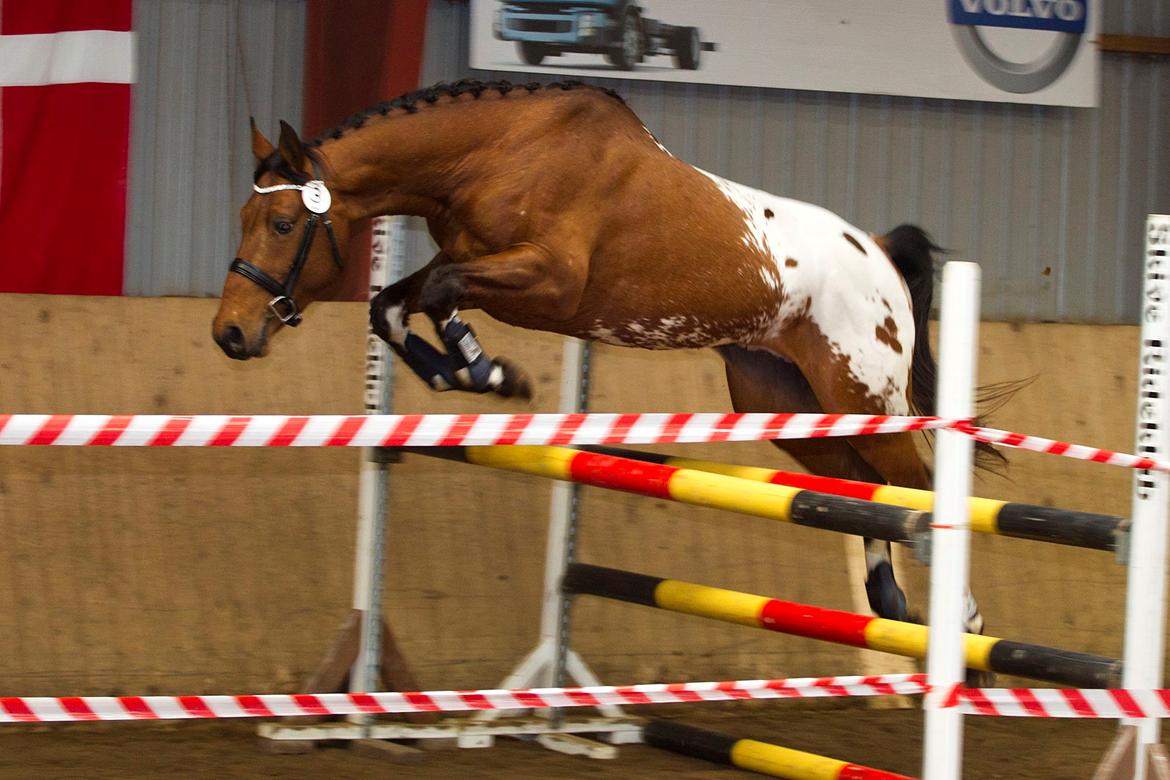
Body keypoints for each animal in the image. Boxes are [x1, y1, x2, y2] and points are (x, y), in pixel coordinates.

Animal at [217, 80, 1006, 654]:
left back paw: (962, 622)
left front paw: (490, 373)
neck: (499, 152)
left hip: (863, 393)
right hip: (787, 399)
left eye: (283, 224)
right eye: (246, 220)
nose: (229, 333)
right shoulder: (471, 261)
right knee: (862, 484)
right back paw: (888, 601)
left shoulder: (548, 282)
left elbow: (437, 294)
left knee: (915, 484)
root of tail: (879, 253)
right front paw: (469, 374)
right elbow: (390, 305)